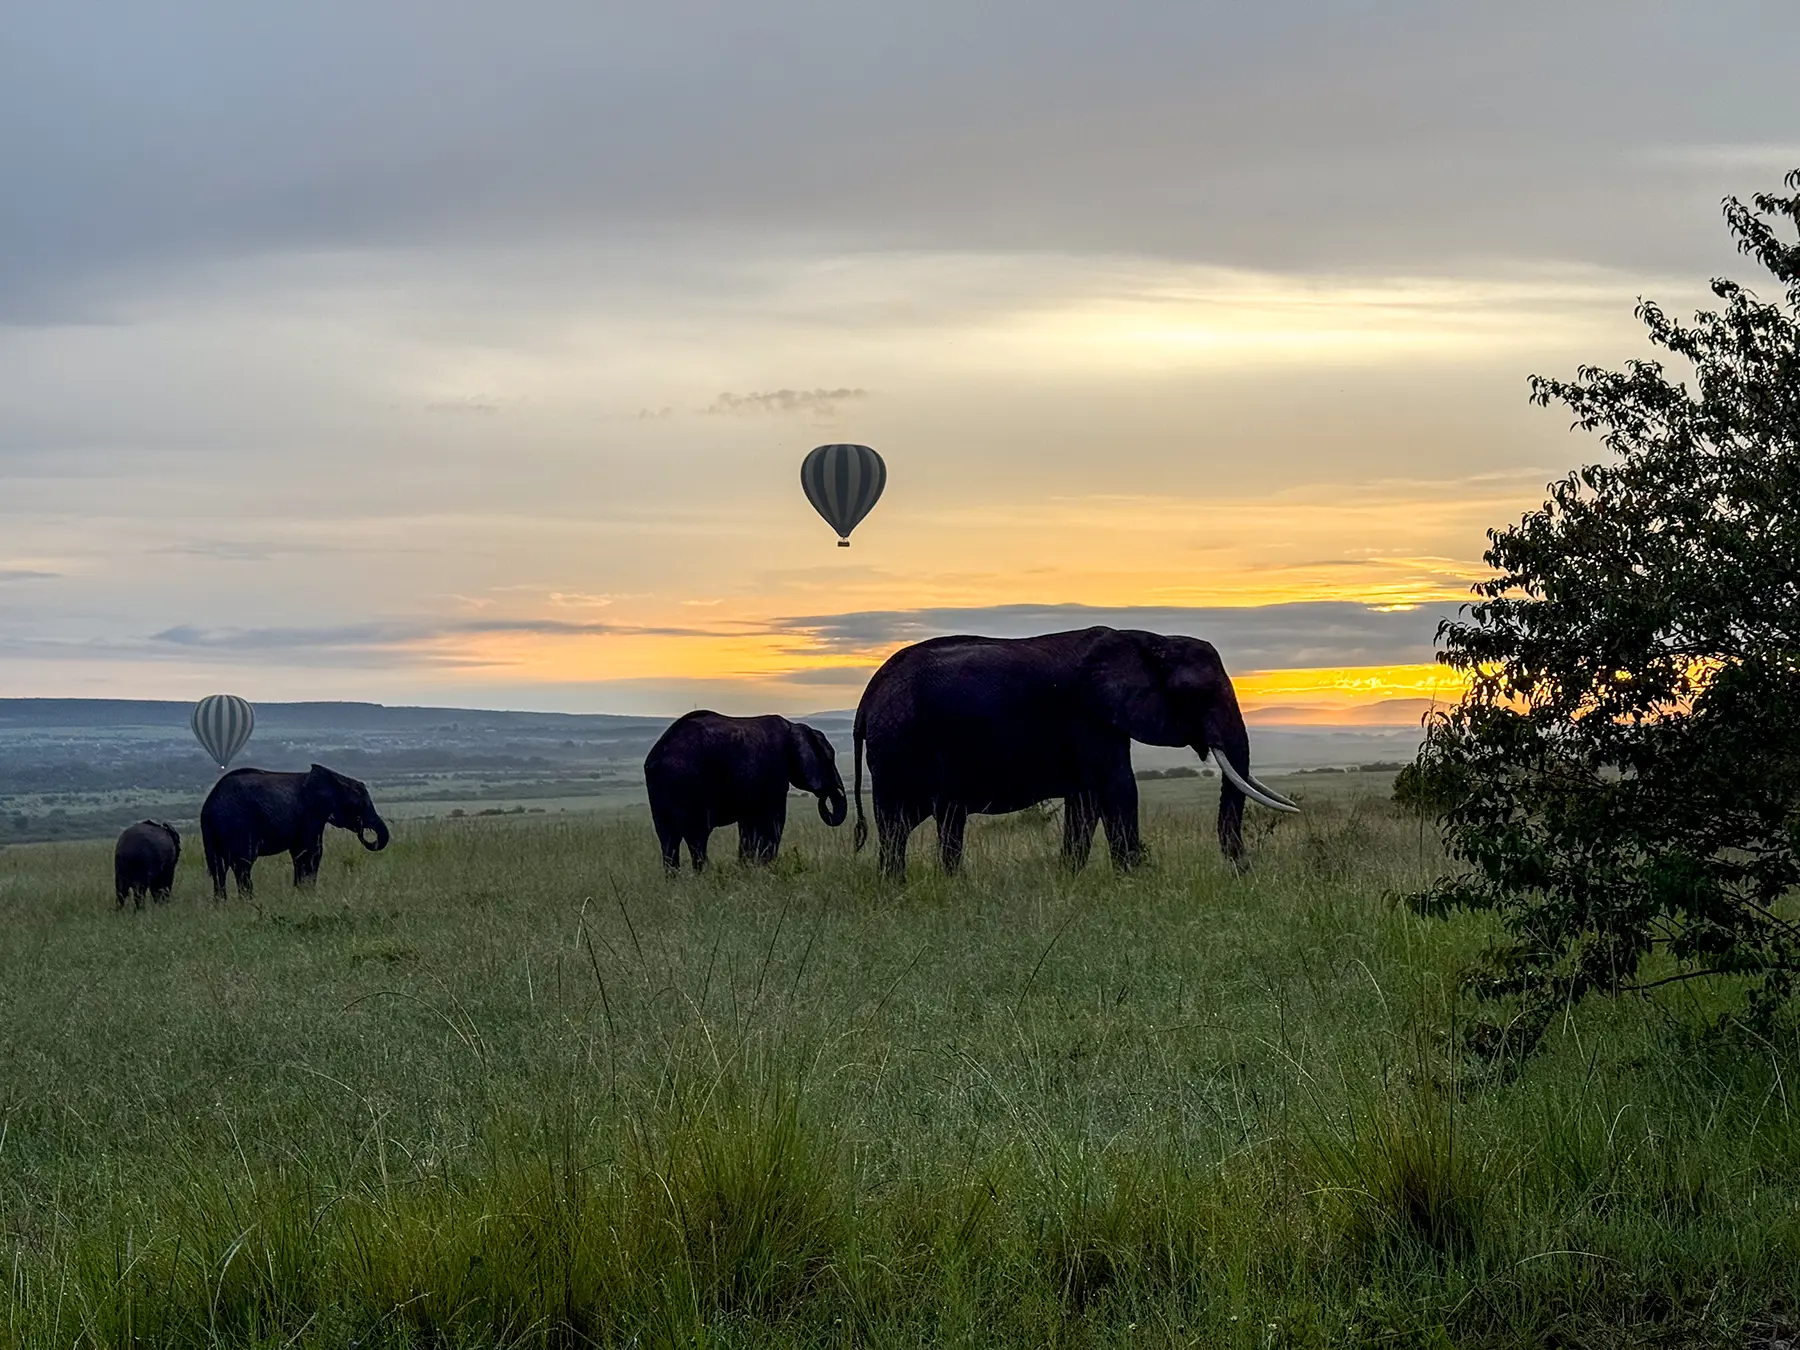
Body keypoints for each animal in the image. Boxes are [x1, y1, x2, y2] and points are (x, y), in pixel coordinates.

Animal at [200, 764, 391, 899]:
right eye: (361, 804)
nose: (363, 829)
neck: (335, 778)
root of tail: (210, 806)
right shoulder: (310, 815)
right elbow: (312, 852)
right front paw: (308, 894)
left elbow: (302, 853)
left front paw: (302, 893)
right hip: (239, 825)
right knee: (242, 864)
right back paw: (248, 902)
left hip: (211, 832)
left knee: (218, 867)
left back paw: (221, 905)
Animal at [644, 711, 848, 872]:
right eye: (830, 759)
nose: (825, 796)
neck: (793, 727)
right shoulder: (775, 770)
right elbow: (775, 818)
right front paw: (767, 866)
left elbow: (748, 824)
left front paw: (747, 868)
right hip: (690, 785)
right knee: (697, 837)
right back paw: (704, 876)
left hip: (661, 791)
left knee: (668, 840)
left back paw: (674, 882)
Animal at [851, 626, 1299, 879]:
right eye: (1198, 694)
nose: (1242, 869)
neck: (1149, 641)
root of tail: (867, 696)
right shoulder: (1089, 714)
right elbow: (1118, 788)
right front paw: (1136, 879)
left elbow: (1085, 800)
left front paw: (1070, 877)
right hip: (898, 746)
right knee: (897, 824)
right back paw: (899, 887)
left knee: (939, 820)